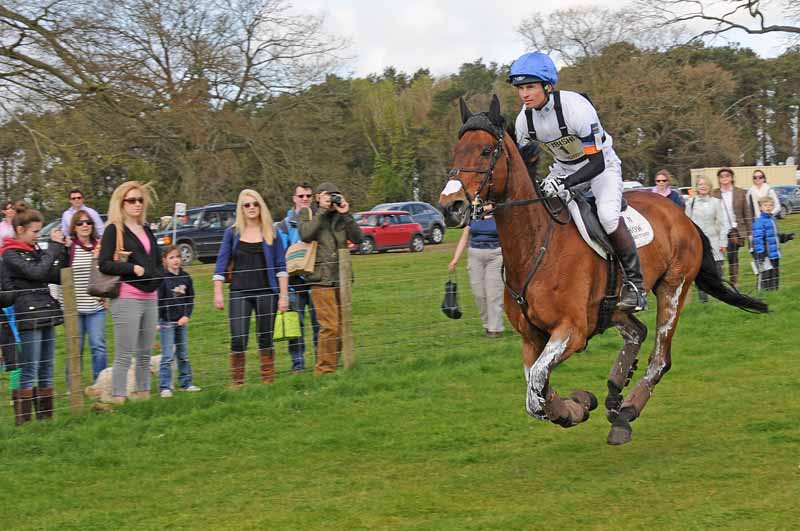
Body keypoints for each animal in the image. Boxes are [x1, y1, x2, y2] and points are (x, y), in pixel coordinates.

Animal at [438, 95, 768, 444]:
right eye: (456, 151)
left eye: (487, 151)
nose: (451, 206)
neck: (535, 245)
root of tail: (683, 215)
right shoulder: (532, 338)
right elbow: (535, 394)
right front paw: (578, 405)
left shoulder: (572, 331)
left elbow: (537, 385)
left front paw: (576, 407)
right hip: (610, 308)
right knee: (637, 332)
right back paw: (613, 397)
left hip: (672, 288)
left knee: (659, 358)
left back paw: (627, 411)